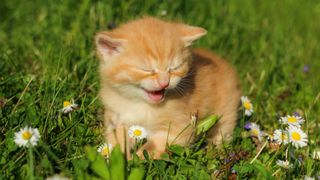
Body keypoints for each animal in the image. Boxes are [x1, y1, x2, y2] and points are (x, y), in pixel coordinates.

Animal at [95, 17, 240, 158]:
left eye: (174, 68)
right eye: (147, 70)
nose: (165, 83)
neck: (143, 105)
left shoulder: (178, 129)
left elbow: (151, 148)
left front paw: (136, 160)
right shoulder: (118, 118)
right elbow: (116, 140)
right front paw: (114, 156)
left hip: (226, 112)